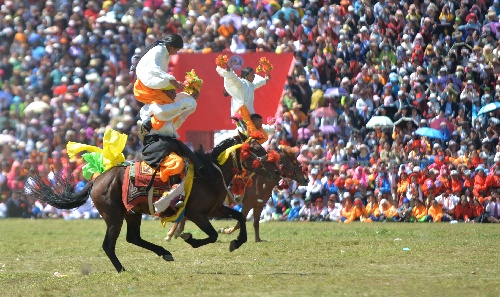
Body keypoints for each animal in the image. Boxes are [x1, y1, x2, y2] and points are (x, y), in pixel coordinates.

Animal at [26, 135, 282, 272]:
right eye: (255, 150)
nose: (278, 171)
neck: (208, 173)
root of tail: (97, 179)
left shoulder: (215, 209)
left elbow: (239, 217)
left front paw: (236, 243)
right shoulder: (197, 213)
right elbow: (210, 235)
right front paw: (190, 239)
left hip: (132, 214)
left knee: (133, 237)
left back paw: (163, 253)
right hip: (114, 216)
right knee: (110, 245)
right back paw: (122, 269)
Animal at [170, 146, 306, 240]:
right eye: (294, 163)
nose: (306, 179)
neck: (262, 182)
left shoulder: (259, 206)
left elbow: (256, 223)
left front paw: (258, 239)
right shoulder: (247, 204)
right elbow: (240, 223)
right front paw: (225, 230)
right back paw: (172, 233)